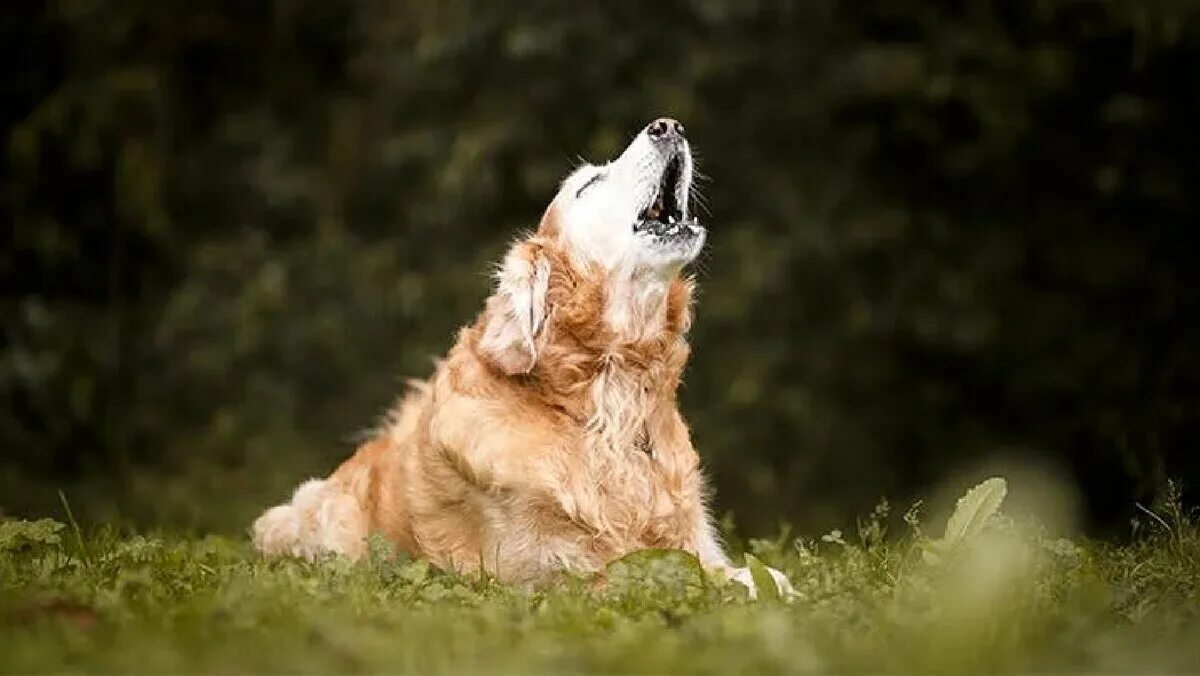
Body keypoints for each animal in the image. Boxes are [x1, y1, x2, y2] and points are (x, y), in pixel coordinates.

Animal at [252, 118, 792, 600]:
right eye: (588, 185)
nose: (669, 125)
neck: (606, 399)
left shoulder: (692, 538)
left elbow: (737, 570)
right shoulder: (547, 572)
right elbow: (662, 576)